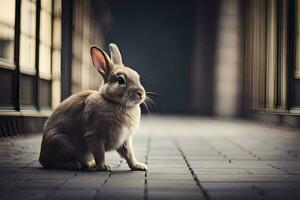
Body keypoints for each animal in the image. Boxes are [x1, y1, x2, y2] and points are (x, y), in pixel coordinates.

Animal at [39, 43, 147, 171]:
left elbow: (129, 154)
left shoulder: (125, 140)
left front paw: (139, 166)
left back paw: (90, 164)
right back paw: (73, 164)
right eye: (120, 80)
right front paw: (104, 166)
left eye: (138, 77)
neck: (113, 102)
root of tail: (41, 158)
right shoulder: (94, 135)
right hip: (61, 142)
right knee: (55, 162)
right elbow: (100, 153)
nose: (140, 93)